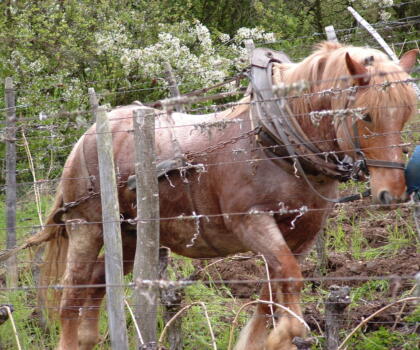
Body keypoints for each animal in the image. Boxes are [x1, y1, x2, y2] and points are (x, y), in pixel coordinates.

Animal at [22, 42, 416, 348]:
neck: (276, 142)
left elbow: (272, 290)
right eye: (366, 116)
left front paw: (267, 340)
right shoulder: (251, 221)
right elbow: (288, 278)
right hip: (86, 227)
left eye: (406, 114)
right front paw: (285, 335)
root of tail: (87, 137)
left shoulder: (304, 232)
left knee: (97, 283)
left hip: (129, 234)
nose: (393, 192)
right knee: (71, 296)